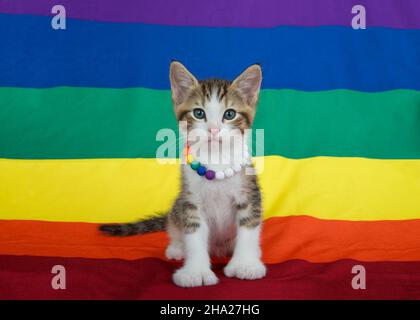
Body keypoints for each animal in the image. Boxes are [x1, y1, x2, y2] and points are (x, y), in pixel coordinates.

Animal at [100, 61, 266, 286]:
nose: (213, 130)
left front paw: (246, 265)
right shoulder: (190, 200)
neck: (216, 160)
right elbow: (193, 235)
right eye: (199, 113)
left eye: (230, 114)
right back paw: (178, 248)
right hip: (176, 207)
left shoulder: (249, 193)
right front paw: (195, 272)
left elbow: (249, 228)